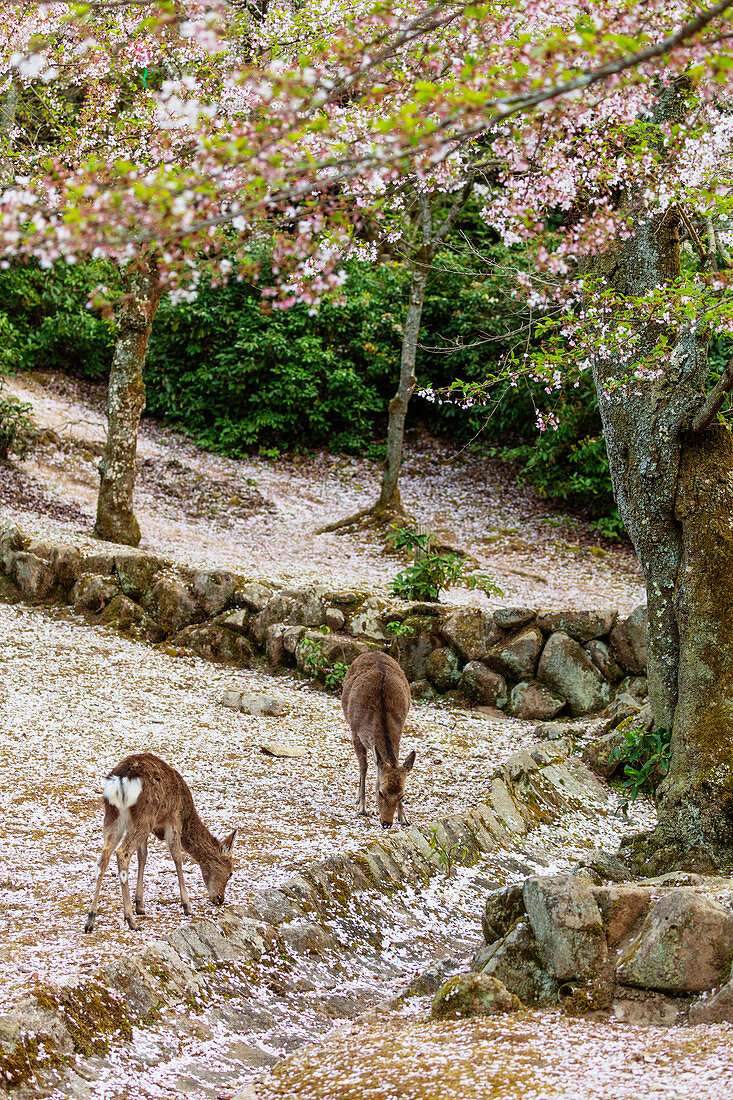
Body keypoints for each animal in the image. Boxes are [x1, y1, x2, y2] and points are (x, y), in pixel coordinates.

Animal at [84, 752, 235, 932]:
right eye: (231, 872)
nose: (220, 899)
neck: (187, 816)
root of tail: (121, 780)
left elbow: (143, 856)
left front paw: (140, 905)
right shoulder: (174, 819)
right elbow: (177, 857)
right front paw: (187, 906)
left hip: (114, 815)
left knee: (104, 855)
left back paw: (90, 919)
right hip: (145, 816)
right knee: (122, 852)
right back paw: (130, 920)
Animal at [338, 646, 413, 827]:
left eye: (402, 795)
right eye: (380, 792)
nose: (386, 823)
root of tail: (374, 651)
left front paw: (404, 817)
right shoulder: (355, 733)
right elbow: (363, 766)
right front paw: (362, 807)